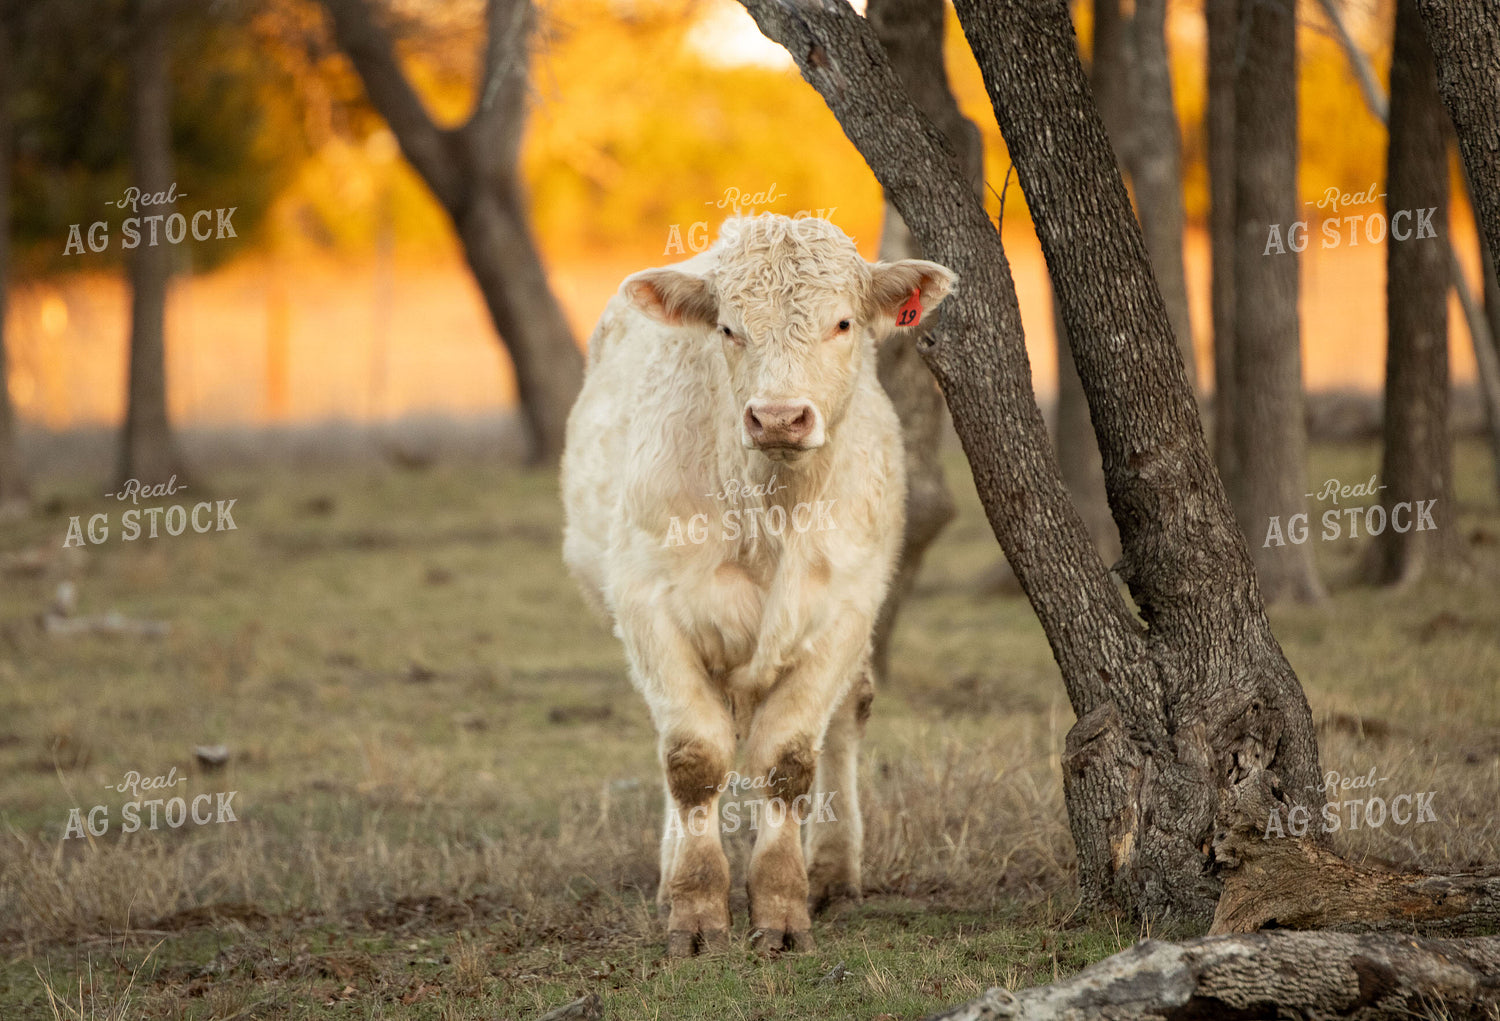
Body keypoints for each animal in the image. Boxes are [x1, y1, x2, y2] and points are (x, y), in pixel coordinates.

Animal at [561, 214, 956, 956]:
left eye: (843, 323)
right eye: (728, 328)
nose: (777, 417)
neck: (769, 517)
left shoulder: (842, 611)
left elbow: (789, 758)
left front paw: (782, 907)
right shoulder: (650, 604)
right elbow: (691, 758)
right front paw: (693, 910)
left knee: (848, 716)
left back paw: (833, 872)